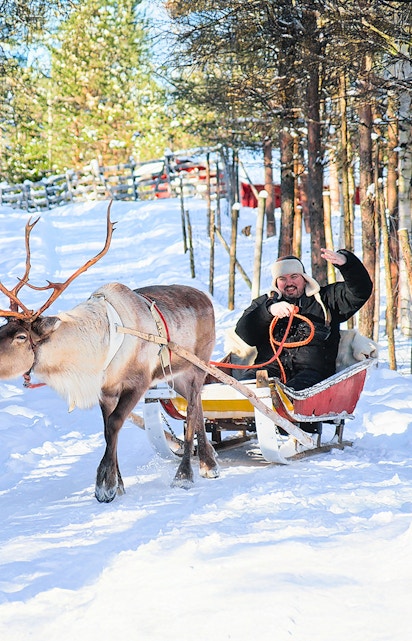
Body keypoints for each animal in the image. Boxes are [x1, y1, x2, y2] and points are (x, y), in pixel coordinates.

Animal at [0, 205, 219, 502]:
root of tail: (205, 296)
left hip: (197, 366)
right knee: (198, 407)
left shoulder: (137, 382)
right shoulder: (105, 390)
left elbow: (115, 422)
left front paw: (105, 484)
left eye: (21, 337)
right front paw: (119, 482)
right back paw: (208, 462)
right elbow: (107, 429)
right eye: (3, 327)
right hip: (177, 376)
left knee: (193, 409)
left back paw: (186, 473)